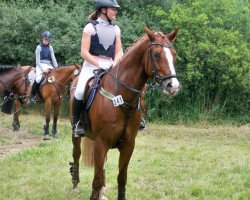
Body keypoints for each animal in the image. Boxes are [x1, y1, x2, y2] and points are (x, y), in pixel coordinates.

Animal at [69, 27, 181, 200]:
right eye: (156, 54)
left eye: (173, 54)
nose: (173, 86)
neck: (121, 96)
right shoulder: (101, 143)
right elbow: (97, 178)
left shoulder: (128, 145)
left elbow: (121, 178)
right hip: (77, 134)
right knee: (76, 154)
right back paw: (75, 182)